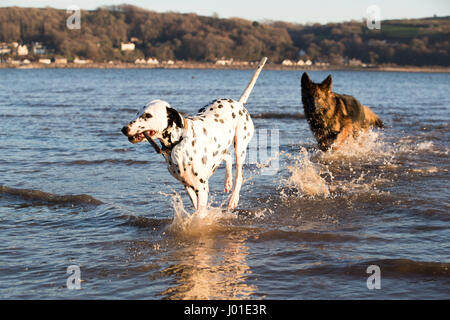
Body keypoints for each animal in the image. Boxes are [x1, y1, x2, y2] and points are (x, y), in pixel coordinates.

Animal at [120, 58, 268, 212]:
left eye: (148, 115)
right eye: (137, 113)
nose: (124, 129)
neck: (179, 143)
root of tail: (238, 103)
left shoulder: (202, 188)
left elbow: (200, 213)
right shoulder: (188, 186)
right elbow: (195, 205)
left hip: (240, 147)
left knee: (239, 174)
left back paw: (233, 198)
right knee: (227, 156)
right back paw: (227, 181)